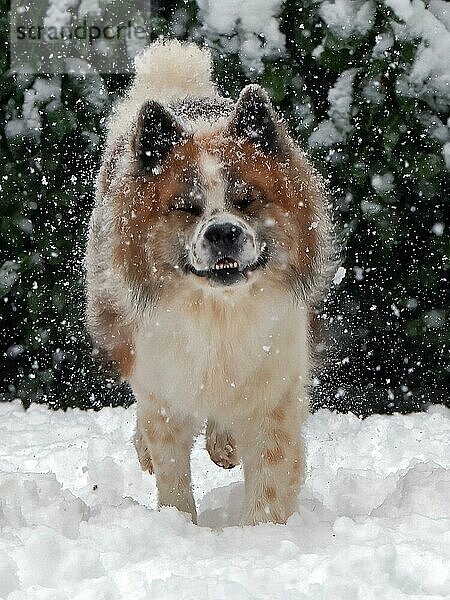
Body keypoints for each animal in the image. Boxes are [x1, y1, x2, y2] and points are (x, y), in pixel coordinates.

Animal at [86, 39, 334, 524]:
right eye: (186, 207)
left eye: (246, 200)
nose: (223, 232)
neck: (219, 312)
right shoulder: (163, 388)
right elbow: (171, 469)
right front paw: (178, 523)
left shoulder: (273, 395)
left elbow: (270, 477)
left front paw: (261, 532)